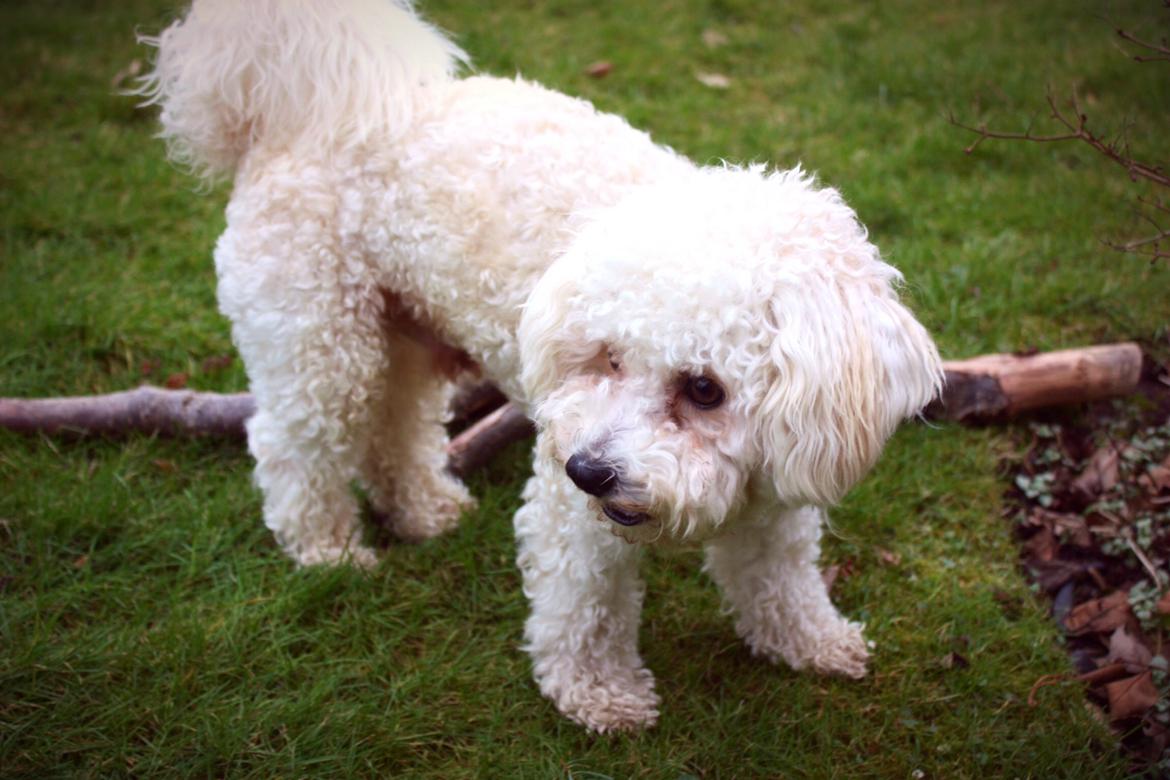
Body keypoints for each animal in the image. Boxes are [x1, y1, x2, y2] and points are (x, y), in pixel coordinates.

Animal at [143, 0, 940, 734]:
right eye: (608, 357)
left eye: (705, 389)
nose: (589, 470)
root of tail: (311, 109)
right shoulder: (573, 513)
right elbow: (585, 605)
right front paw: (599, 696)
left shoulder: (776, 494)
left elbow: (780, 578)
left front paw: (814, 643)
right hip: (318, 342)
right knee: (293, 446)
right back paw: (326, 549)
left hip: (404, 337)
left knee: (392, 429)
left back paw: (423, 509)